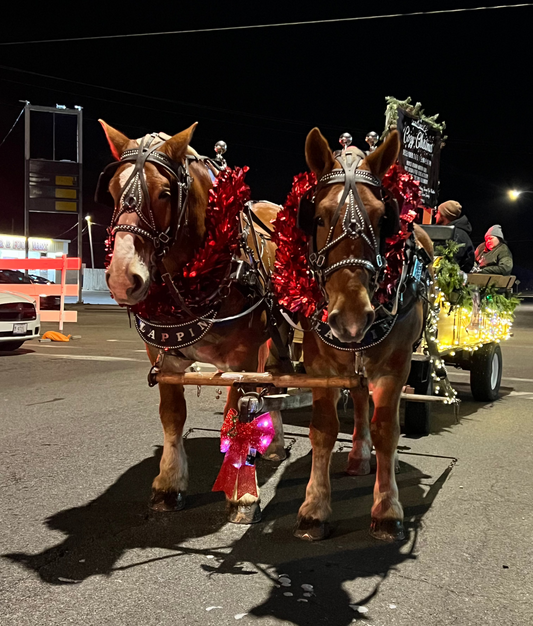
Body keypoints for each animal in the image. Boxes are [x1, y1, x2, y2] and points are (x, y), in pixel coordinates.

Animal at [98, 120, 284, 520]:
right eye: (113, 191)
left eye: (165, 193)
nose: (122, 277)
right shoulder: (163, 356)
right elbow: (172, 415)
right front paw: (169, 484)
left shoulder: (243, 356)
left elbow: (239, 414)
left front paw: (242, 492)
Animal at [296, 128, 432, 540]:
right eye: (318, 217)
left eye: (383, 218)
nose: (353, 319)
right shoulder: (319, 364)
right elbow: (323, 429)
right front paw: (315, 507)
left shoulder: (395, 365)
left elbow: (387, 428)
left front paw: (387, 508)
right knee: (358, 400)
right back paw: (358, 455)